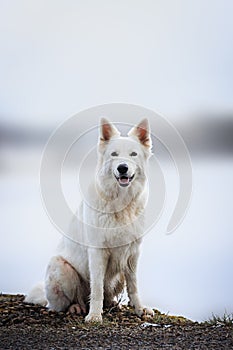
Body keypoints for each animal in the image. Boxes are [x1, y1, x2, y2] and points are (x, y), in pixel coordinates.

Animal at [25, 118, 154, 322]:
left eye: (133, 154)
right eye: (114, 154)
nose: (122, 168)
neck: (120, 204)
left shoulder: (133, 253)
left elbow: (133, 286)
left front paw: (140, 309)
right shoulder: (97, 252)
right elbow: (97, 288)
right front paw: (94, 316)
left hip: (118, 275)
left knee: (109, 294)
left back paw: (111, 304)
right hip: (61, 267)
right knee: (62, 303)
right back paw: (76, 307)